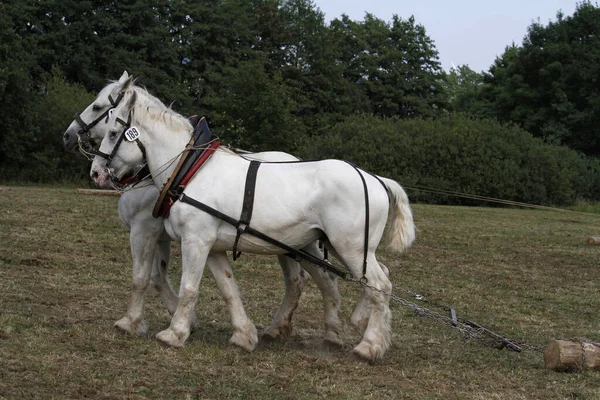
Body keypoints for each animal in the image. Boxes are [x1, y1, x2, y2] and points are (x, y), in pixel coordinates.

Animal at [63, 72, 344, 350]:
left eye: (98, 107)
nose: (67, 136)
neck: (180, 169)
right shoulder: (161, 235)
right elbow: (158, 276)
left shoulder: (145, 230)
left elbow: (142, 277)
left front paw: (136, 322)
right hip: (293, 244)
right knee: (307, 280)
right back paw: (286, 329)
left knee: (313, 279)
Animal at [89, 89, 414, 360]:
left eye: (114, 131)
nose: (96, 172)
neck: (190, 170)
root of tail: (373, 178)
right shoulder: (212, 247)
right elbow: (228, 288)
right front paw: (243, 336)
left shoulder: (194, 241)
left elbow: (188, 288)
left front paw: (173, 333)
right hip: (333, 247)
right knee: (367, 280)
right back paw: (351, 328)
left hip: (350, 248)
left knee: (378, 285)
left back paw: (370, 345)